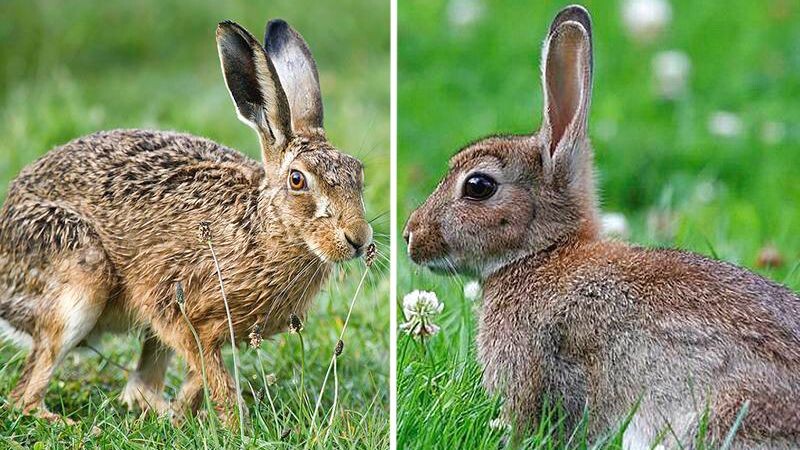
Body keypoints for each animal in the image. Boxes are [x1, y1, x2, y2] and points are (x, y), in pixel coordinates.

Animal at [0, 18, 374, 426]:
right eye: (297, 180)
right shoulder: (175, 309)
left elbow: (202, 376)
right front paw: (236, 426)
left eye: (358, 172)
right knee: (25, 394)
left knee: (138, 386)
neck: (261, 227)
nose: (358, 239)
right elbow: (216, 378)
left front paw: (185, 416)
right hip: (78, 275)